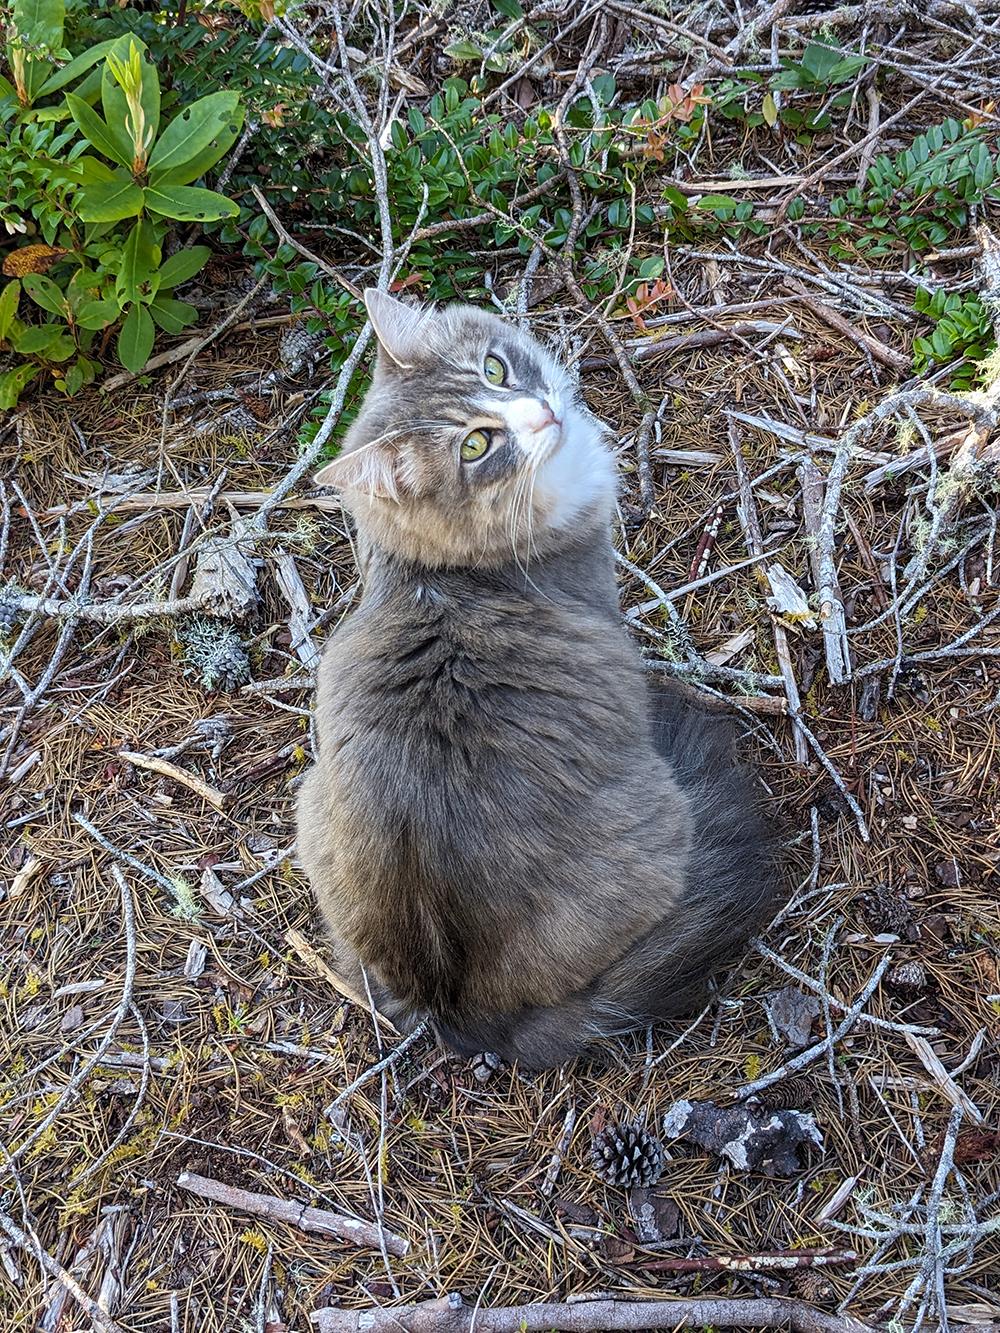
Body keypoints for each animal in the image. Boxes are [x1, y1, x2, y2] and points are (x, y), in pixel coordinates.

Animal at [293, 286, 778, 1066]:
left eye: (496, 367)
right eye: (476, 446)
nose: (542, 415)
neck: (442, 571)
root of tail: (466, 1012)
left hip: (309, 803)